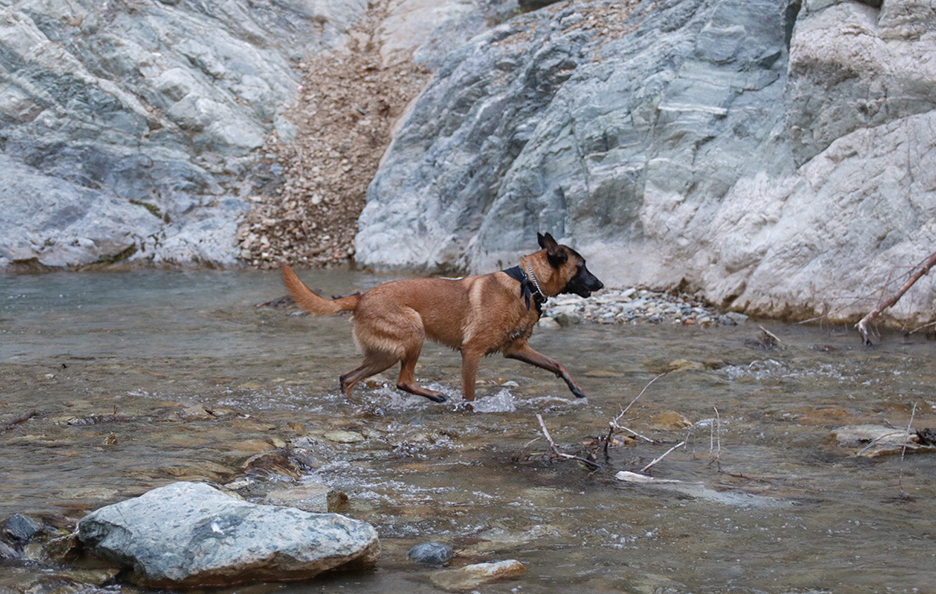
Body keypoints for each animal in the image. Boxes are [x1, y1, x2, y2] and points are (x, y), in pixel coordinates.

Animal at [278, 234, 604, 404]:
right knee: (403, 381)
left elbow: (557, 364)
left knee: (347, 378)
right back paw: (436, 396)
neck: (526, 282)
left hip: (384, 355)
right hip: (413, 335)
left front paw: (576, 389)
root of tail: (361, 296)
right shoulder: (471, 352)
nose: (601, 284)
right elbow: (469, 395)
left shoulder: (517, 348)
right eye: (582, 266)